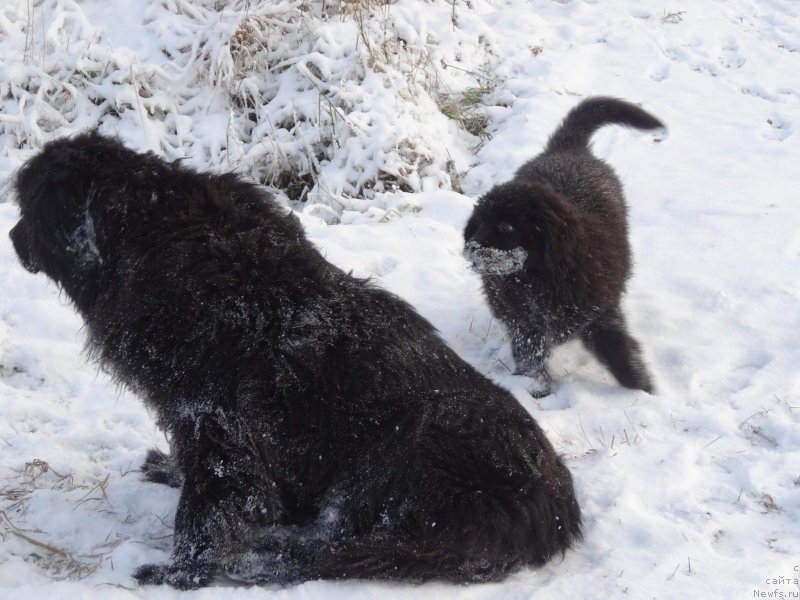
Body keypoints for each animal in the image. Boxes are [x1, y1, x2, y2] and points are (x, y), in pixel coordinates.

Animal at [7, 134, 580, 588]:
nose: (11, 239)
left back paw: (269, 557)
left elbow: (203, 509)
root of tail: (557, 508)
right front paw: (168, 472)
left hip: (404, 448)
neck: (152, 242)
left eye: (30, 209)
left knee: (353, 549)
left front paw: (180, 572)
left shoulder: (217, 423)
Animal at [462, 96, 664, 396]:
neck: (539, 278)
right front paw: (535, 387)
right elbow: (530, 356)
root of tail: (567, 148)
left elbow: (622, 356)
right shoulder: (524, 323)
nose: (471, 249)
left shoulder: (600, 316)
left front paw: (644, 390)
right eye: (479, 222)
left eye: (507, 227)